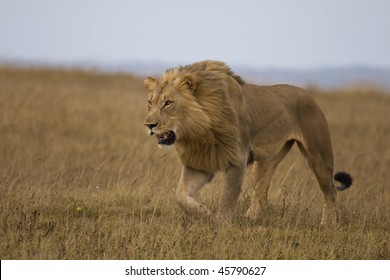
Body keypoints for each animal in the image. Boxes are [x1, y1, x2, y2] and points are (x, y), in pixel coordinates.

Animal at [144, 60, 354, 224]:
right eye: (150, 102)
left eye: (168, 103)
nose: (149, 125)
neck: (198, 131)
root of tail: (309, 94)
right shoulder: (199, 163)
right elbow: (180, 195)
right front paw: (204, 213)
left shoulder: (237, 160)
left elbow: (227, 200)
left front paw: (221, 225)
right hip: (266, 161)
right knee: (261, 193)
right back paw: (250, 218)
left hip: (318, 155)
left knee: (330, 191)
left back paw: (328, 224)